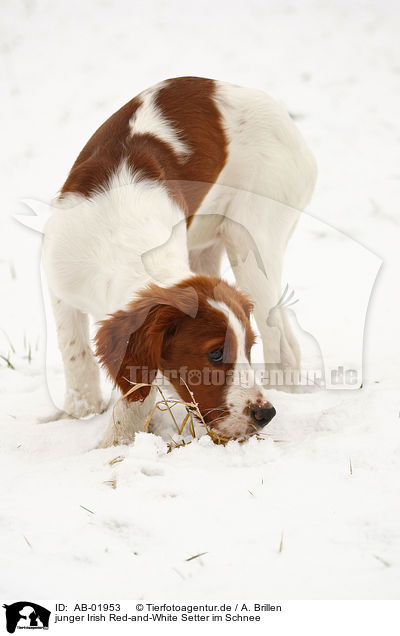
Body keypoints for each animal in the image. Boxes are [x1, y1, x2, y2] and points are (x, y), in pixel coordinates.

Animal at [43, 77, 318, 444]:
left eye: (247, 349)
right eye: (215, 353)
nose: (265, 414)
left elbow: (136, 393)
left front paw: (114, 444)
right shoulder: (60, 285)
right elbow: (77, 356)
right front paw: (82, 413)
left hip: (252, 240)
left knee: (282, 344)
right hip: (209, 243)